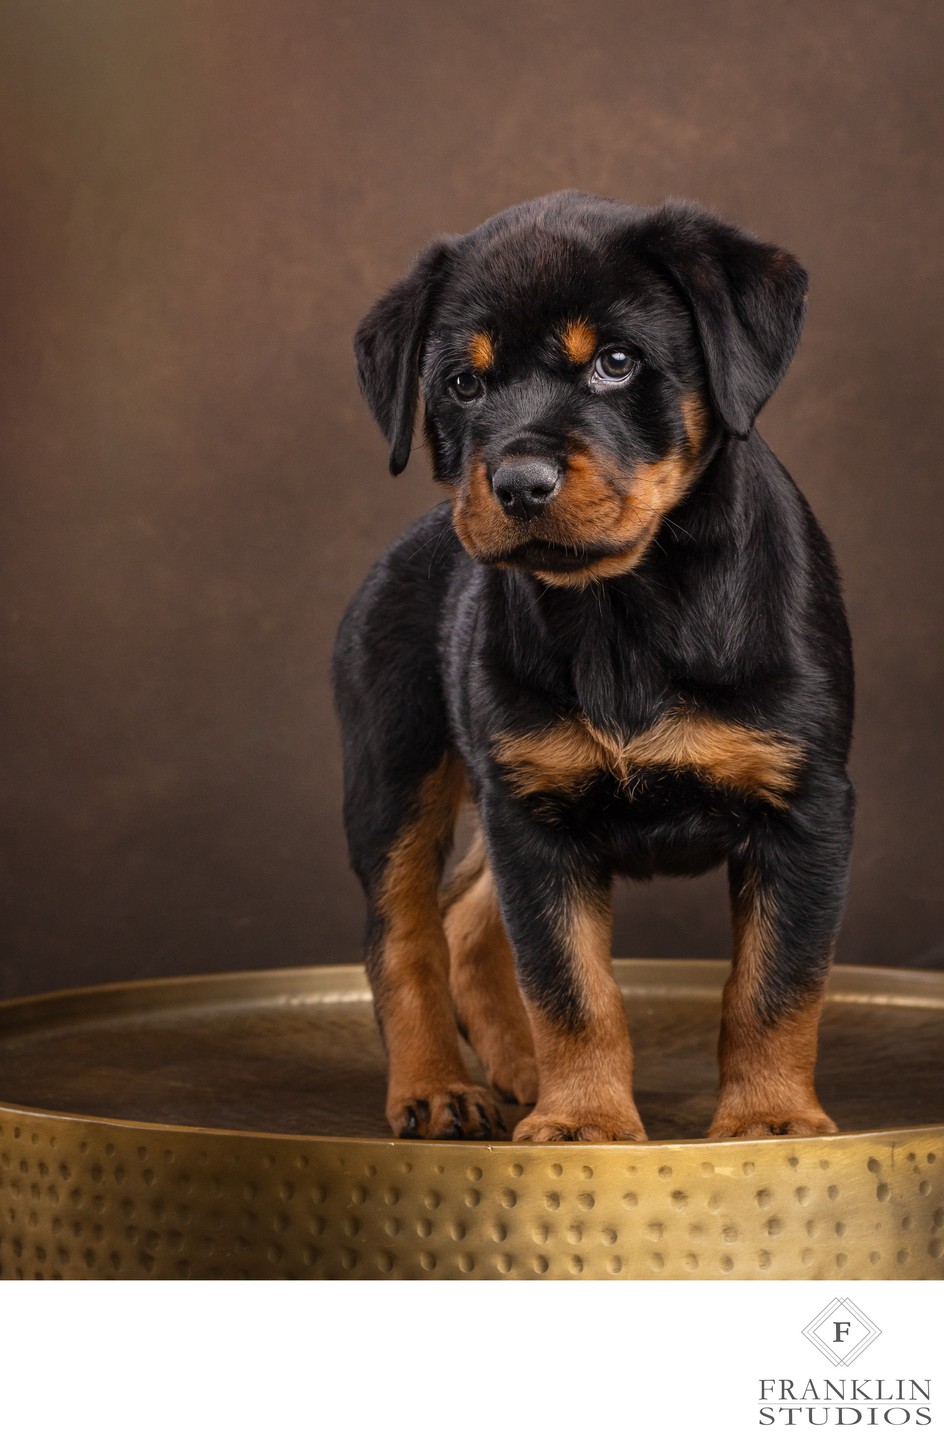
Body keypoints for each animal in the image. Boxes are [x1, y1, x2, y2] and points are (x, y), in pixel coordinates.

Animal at [333, 191, 857, 1138]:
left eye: (616, 363)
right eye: (463, 383)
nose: (518, 483)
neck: (624, 609)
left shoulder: (806, 807)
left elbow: (775, 982)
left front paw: (768, 1119)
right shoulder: (538, 819)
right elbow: (571, 986)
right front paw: (584, 1121)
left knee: (466, 922)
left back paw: (517, 1071)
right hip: (395, 770)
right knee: (404, 937)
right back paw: (438, 1089)